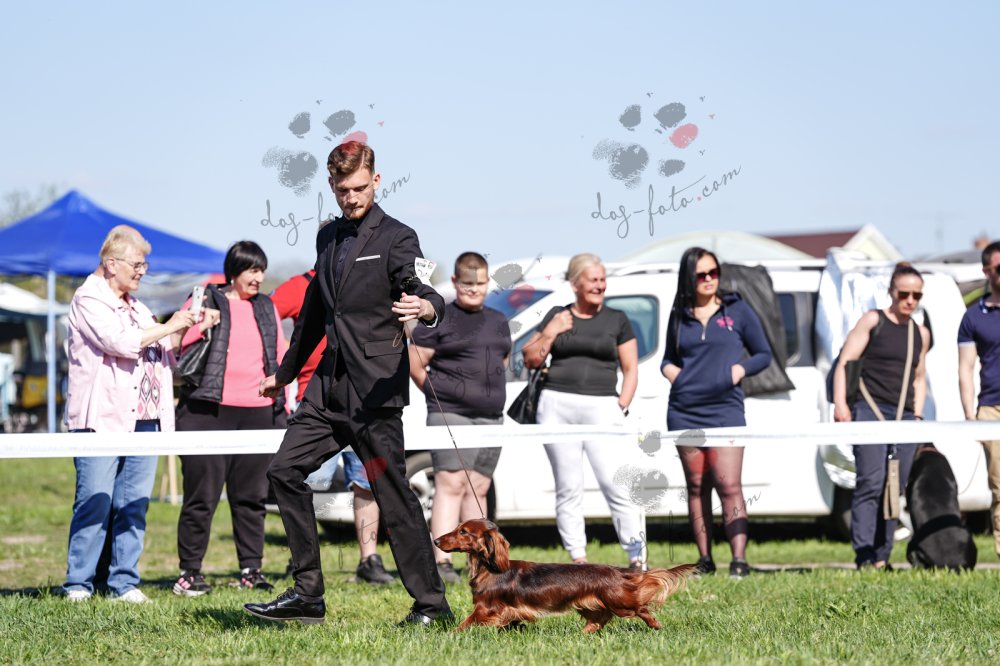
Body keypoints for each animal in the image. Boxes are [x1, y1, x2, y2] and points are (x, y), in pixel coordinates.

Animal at [434, 518, 696, 633]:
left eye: (463, 531)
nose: (435, 540)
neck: (490, 567)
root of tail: (617, 571)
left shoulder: (485, 608)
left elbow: (464, 624)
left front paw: (449, 636)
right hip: (590, 605)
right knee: (598, 621)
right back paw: (582, 635)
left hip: (619, 602)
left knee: (640, 607)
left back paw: (655, 624)